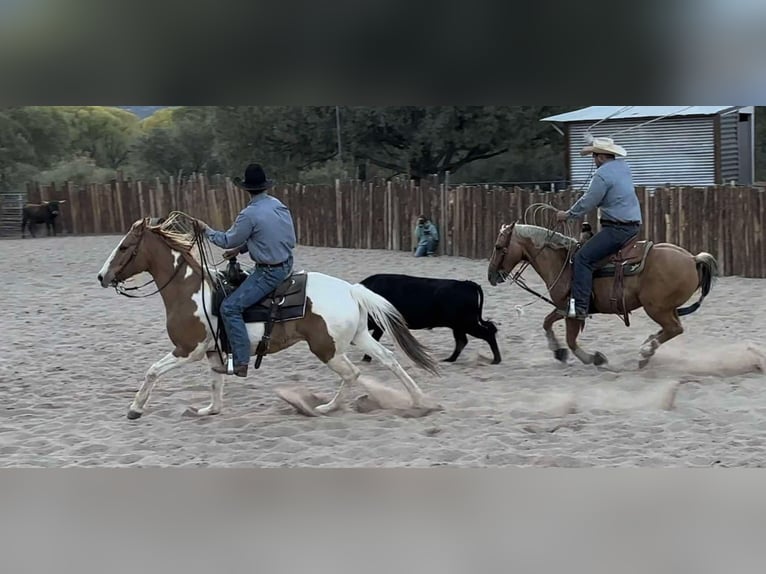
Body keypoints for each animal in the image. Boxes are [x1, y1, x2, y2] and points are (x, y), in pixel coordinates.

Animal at [99, 218, 440, 420]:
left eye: (125, 247)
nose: (102, 276)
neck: (190, 290)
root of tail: (351, 289)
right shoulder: (213, 352)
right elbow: (215, 384)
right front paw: (209, 409)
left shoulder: (188, 350)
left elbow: (152, 371)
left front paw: (135, 408)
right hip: (359, 337)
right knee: (389, 360)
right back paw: (420, 401)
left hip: (327, 348)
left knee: (352, 374)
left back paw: (325, 407)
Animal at [360, 274, 504, 364]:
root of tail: (468, 284)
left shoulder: (379, 324)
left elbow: (374, 338)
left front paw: (366, 358)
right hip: (459, 325)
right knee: (462, 341)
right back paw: (449, 359)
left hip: (467, 323)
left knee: (487, 333)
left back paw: (496, 360)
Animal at [488, 223, 724, 372]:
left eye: (498, 247)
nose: (490, 275)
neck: (562, 262)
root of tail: (692, 259)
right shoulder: (563, 308)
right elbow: (547, 323)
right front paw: (558, 352)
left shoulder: (574, 312)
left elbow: (571, 340)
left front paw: (595, 359)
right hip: (667, 308)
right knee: (670, 329)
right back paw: (647, 350)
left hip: (656, 308)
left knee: (674, 329)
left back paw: (645, 350)